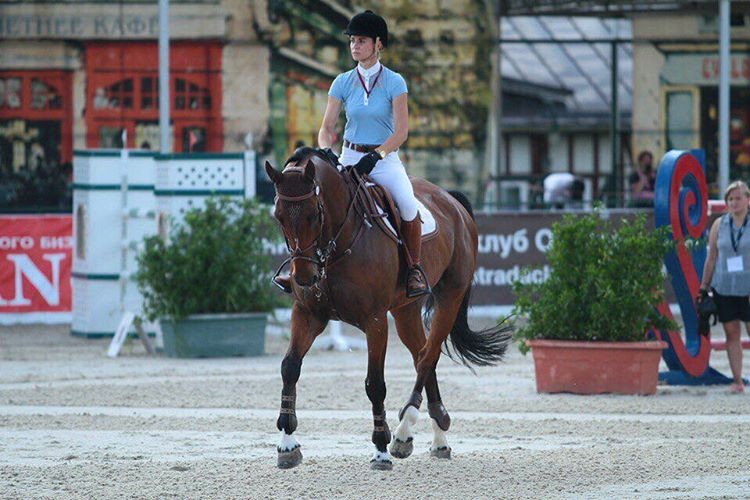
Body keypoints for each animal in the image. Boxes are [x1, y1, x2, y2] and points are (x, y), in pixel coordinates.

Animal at [265, 147, 512, 470]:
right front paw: (287, 444)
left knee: (428, 357)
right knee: (422, 354)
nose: (305, 277)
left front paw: (380, 449)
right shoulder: (307, 314)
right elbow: (290, 367)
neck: (336, 242)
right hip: (406, 310)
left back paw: (403, 433)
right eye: (278, 216)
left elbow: (375, 384)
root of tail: (451, 200)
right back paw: (438, 437)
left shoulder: (375, 321)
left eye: (313, 214)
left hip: (450, 297)